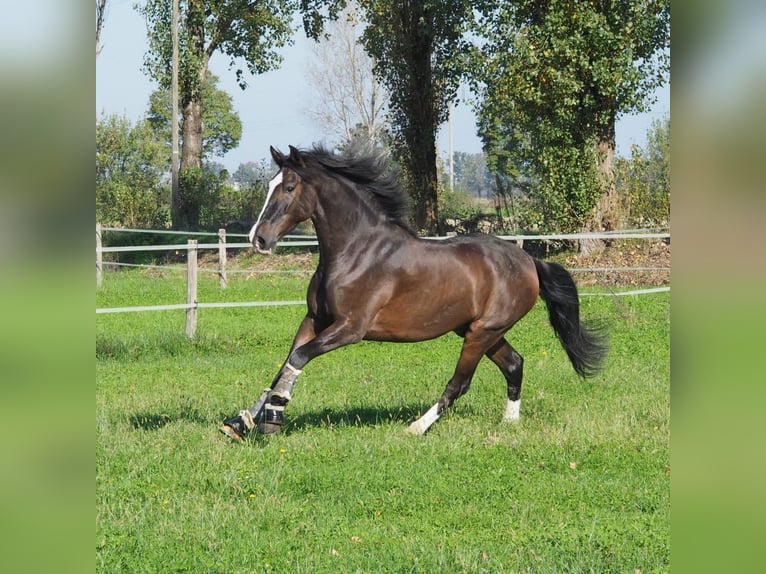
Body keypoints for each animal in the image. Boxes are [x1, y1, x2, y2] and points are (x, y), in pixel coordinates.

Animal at [219, 145, 608, 440]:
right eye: (272, 184)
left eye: (288, 188)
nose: (259, 239)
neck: (356, 252)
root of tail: (529, 261)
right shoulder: (315, 319)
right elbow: (285, 363)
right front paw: (242, 422)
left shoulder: (349, 328)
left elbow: (298, 359)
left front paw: (274, 415)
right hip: (479, 330)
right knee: (514, 364)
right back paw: (508, 423)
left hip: (482, 333)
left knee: (460, 383)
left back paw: (416, 428)